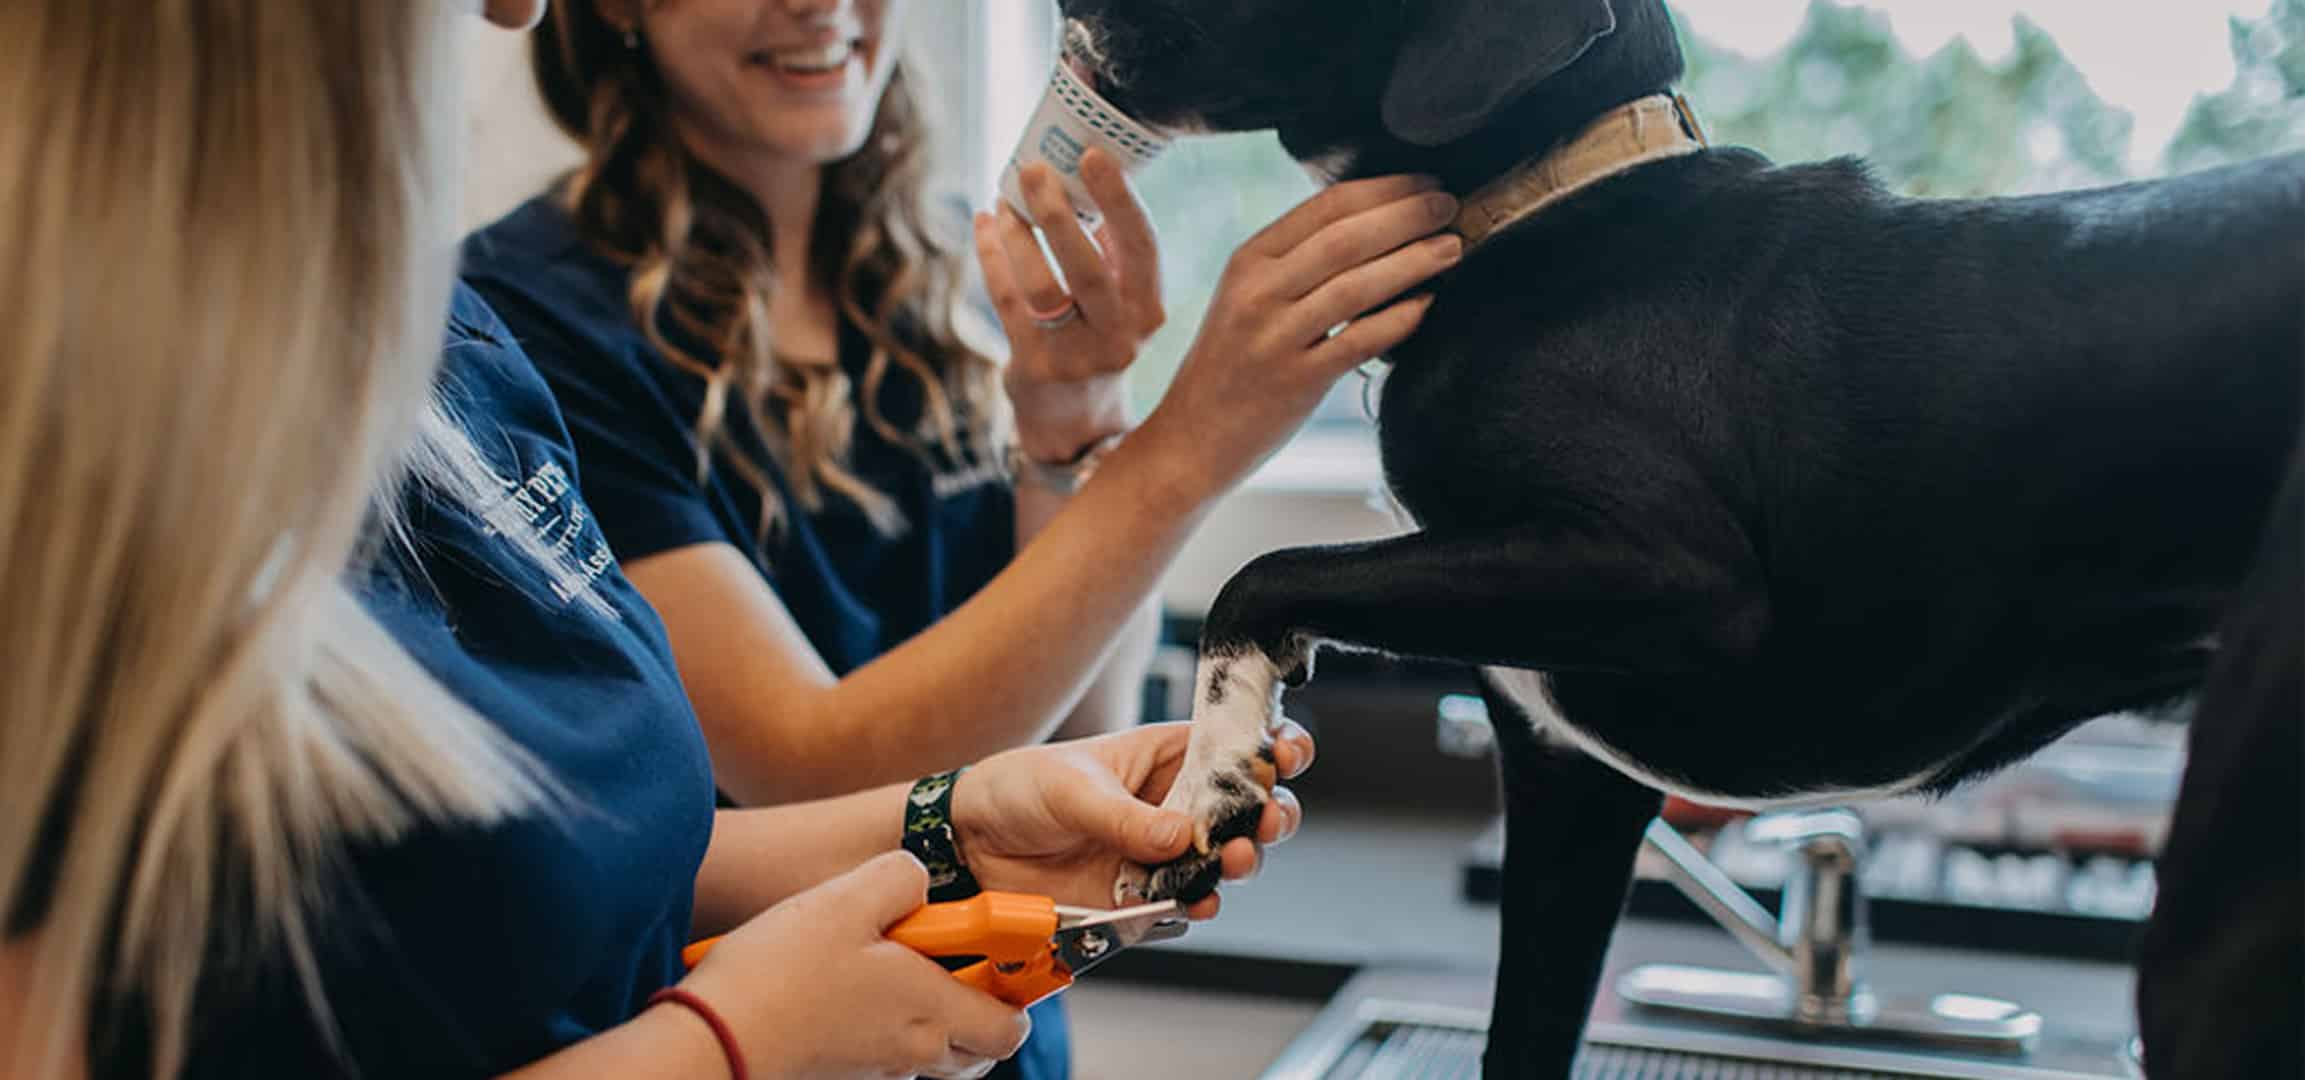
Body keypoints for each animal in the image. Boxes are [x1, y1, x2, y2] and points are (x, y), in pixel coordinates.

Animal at [1074, 0, 2305, 1068]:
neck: (1539, 201)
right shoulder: (1568, 788)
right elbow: (1523, 1035)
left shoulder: (1674, 575)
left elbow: (1263, 572)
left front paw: (1210, 785)